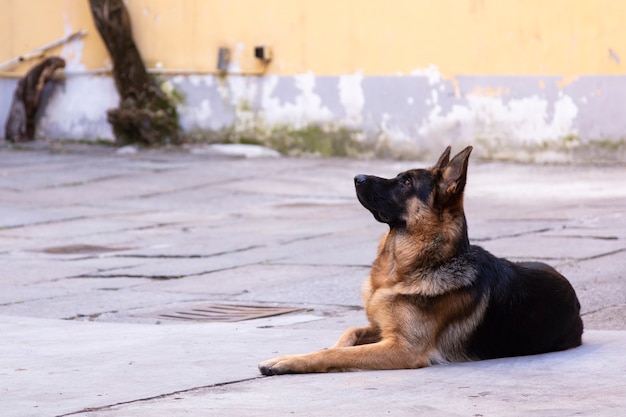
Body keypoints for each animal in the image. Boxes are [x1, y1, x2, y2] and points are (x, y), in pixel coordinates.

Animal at [258, 145, 580, 374]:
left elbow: (338, 353)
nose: (357, 177)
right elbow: (347, 334)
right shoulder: (380, 329)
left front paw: (289, 361)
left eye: (406, 182)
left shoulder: (403, 348)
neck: (408, 268)